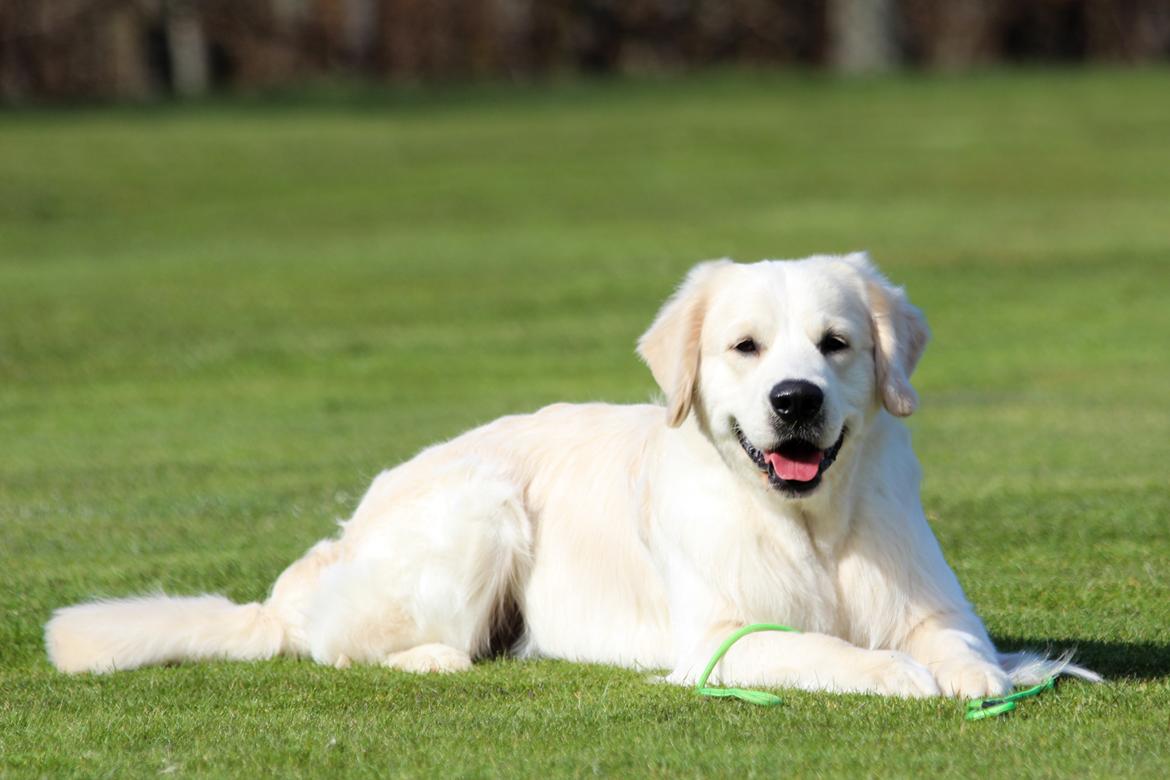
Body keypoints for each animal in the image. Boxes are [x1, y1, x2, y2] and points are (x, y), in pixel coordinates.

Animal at [43, 253, 1095, 696]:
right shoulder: (721, 643)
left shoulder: (935, 608)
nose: (795, 400)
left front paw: (977, 677)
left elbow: (957, 648)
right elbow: (832, 652)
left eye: (836, 344)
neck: (810, 526)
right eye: (746, 347)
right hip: (483, 504)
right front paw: (896, 676)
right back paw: (445, 657)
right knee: (340, 644)